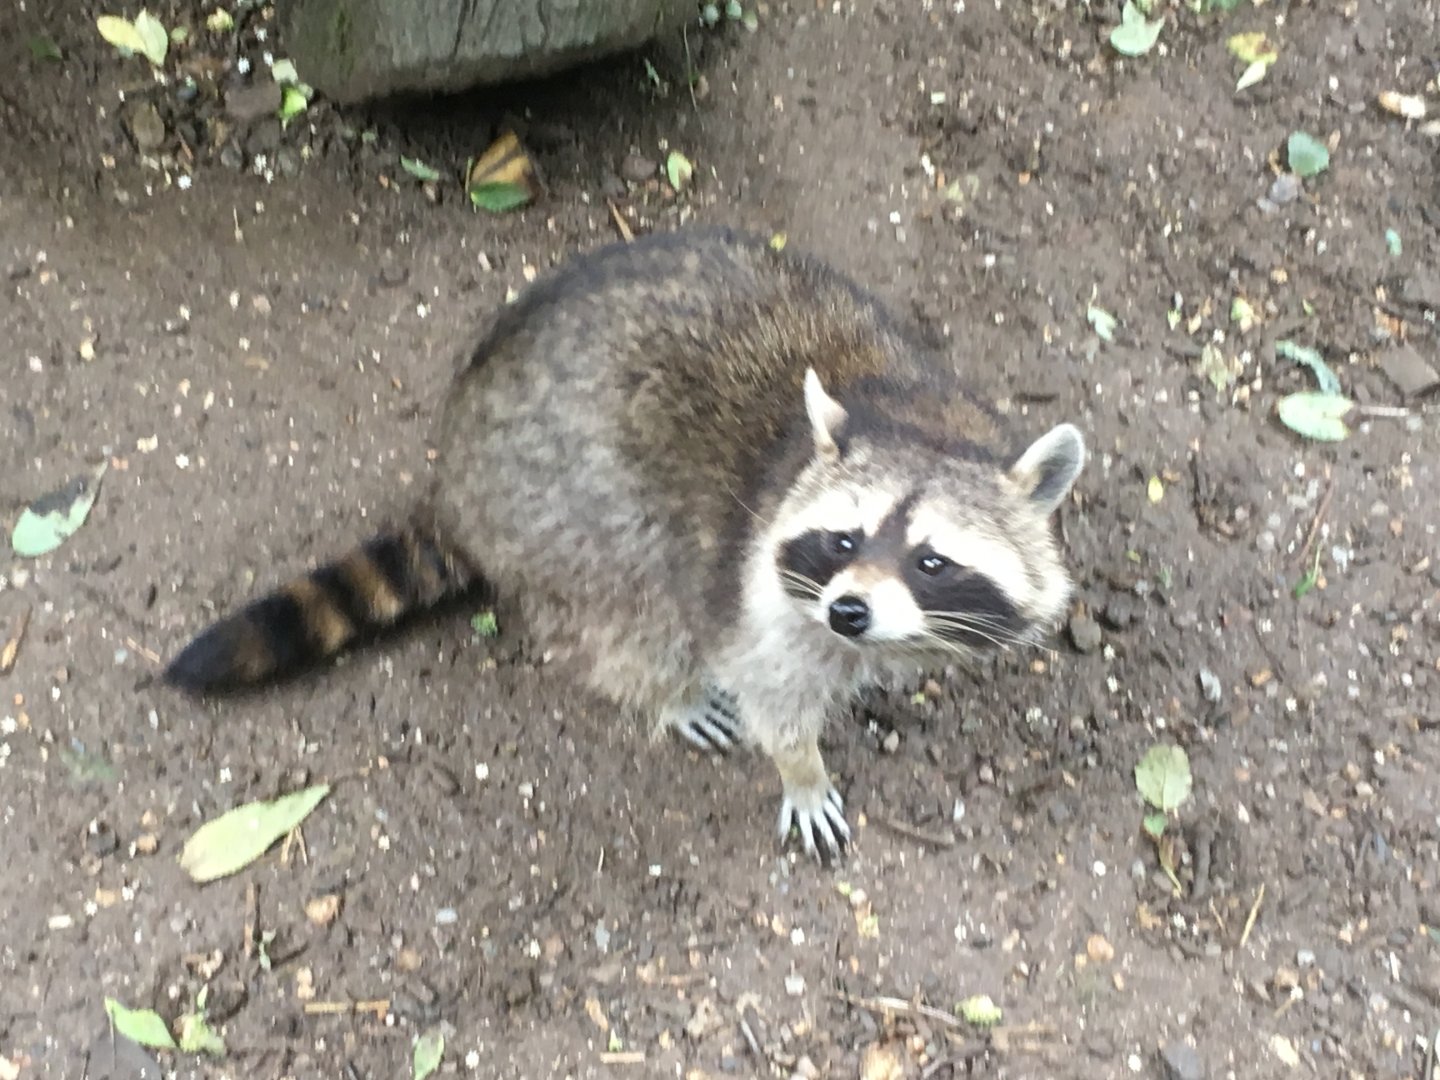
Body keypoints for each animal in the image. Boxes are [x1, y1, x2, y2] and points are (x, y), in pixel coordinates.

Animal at [166, 228, 1085, 860]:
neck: (915, 420)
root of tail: (455, 469)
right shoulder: (754, 583)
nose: (851, 613)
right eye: (841, 539)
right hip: (562, 505)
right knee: (627, 609)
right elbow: (767, 683)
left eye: (932, 560)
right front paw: (801, 767)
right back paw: (665, 687)